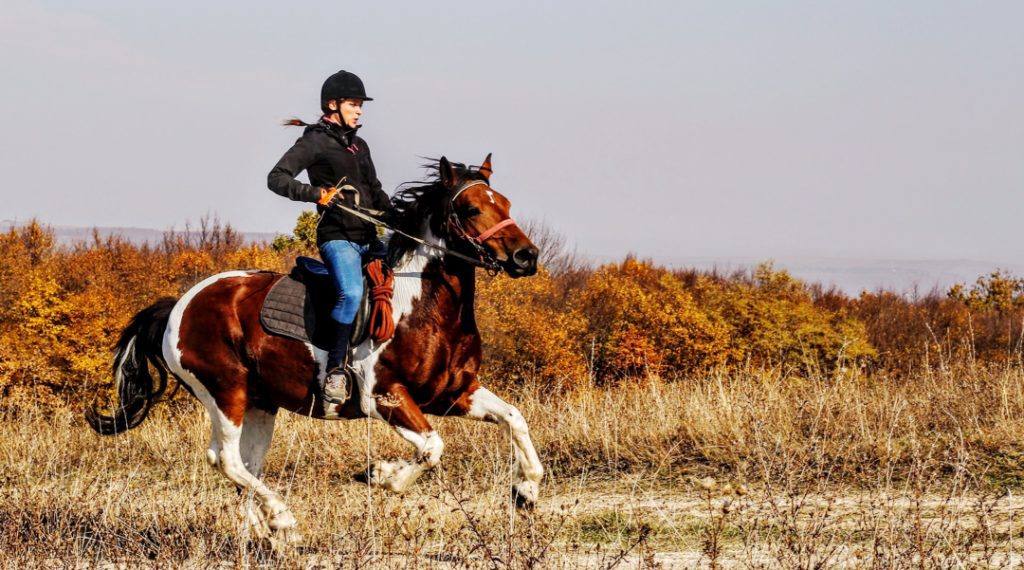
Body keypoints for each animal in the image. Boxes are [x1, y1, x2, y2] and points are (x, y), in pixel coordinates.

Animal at [86, 153, 544, 540]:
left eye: (504, 203)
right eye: (470, 209)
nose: (526, 257)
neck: (423, 304)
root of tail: (180, 304)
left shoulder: (454, 393)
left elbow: (514, 418)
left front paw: (526, 491)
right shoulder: (386, 397)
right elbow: (433, 448)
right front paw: (380, 475)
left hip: (260, 402)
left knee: (245, 465)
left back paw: (262, 532)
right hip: (225, 391)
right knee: (227, 459)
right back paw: (283, 520)